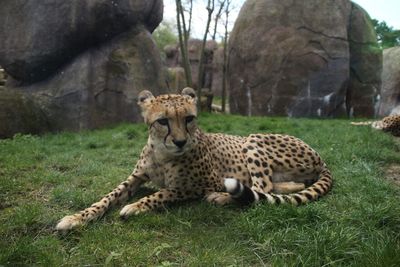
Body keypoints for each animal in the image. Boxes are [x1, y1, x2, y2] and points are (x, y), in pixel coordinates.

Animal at [55, 88, 332, 232]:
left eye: (189, 118)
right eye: (163, 121)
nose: (180, 141)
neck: (162, 154)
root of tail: (320, 157)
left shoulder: (201, 184)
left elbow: (164, 192)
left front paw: (136, 206)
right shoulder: (136, 177)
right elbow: (109, 196)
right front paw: (78, 217)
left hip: (253, 138)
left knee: (261, 189)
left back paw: (222, 197)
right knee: (279, 186)